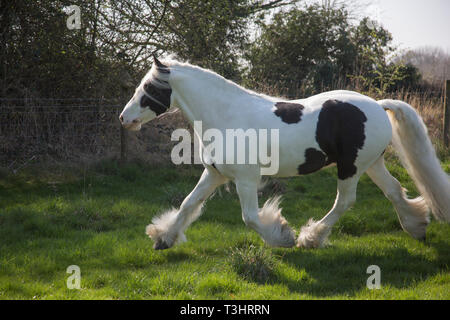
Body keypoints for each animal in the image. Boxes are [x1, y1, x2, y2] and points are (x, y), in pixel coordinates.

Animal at [119, 55, 450, 250]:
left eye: (149, 87)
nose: (124, 118)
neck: (226, 115)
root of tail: (378, 105)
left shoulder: (246, 180)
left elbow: (251, 218)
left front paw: (283, 235)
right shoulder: (214, 174)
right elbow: (188, 204)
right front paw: (163, 238)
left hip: (351, 168)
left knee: (345, 202)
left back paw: (310, 237)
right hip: (371, 164)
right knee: (394, 190)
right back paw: (417, 227)